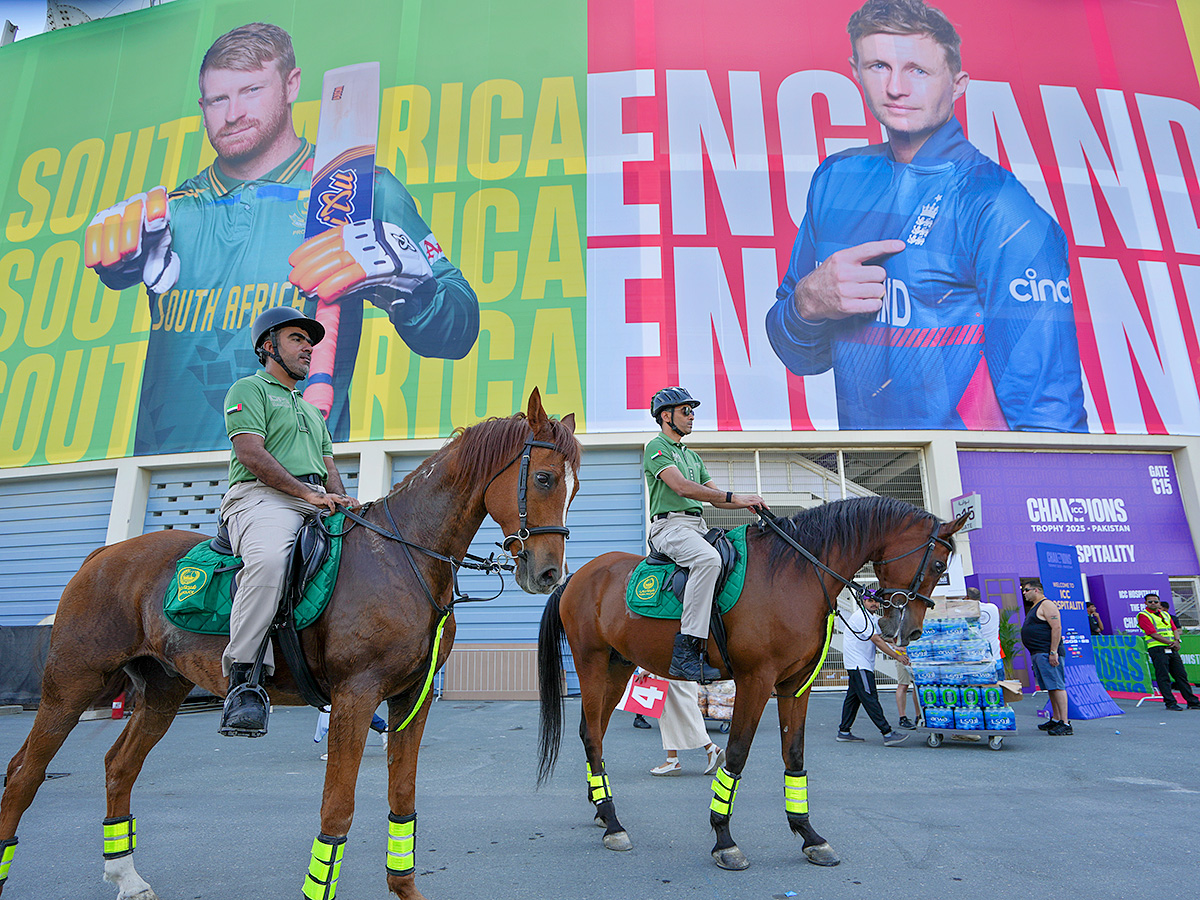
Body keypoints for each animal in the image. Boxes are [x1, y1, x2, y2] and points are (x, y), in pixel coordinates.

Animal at [0, 388, 580, 900]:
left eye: (574, 489)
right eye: (544, 477)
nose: (549, 573)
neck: (403, 556)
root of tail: (102, 556)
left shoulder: (409, 702)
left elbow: (403, 800)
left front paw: (405, 888)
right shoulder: (354, 698)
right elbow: (337, 811)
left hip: (161, 693)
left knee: (119, 766)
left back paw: (128, 878)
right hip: (71, 686)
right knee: (25, 772)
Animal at [535, 496, 964, 878]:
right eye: (938, 564)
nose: (911, 631)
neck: (796, 572)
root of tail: (576, 577)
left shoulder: (795, 685)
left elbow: (794, 754)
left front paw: (809, 835)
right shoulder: (755, 681)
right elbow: (736, 755)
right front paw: (724, 840)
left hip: (617, 668)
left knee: (592, 733)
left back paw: (601, 807)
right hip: (591, 664)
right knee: (593, 736)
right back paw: (613, 823)